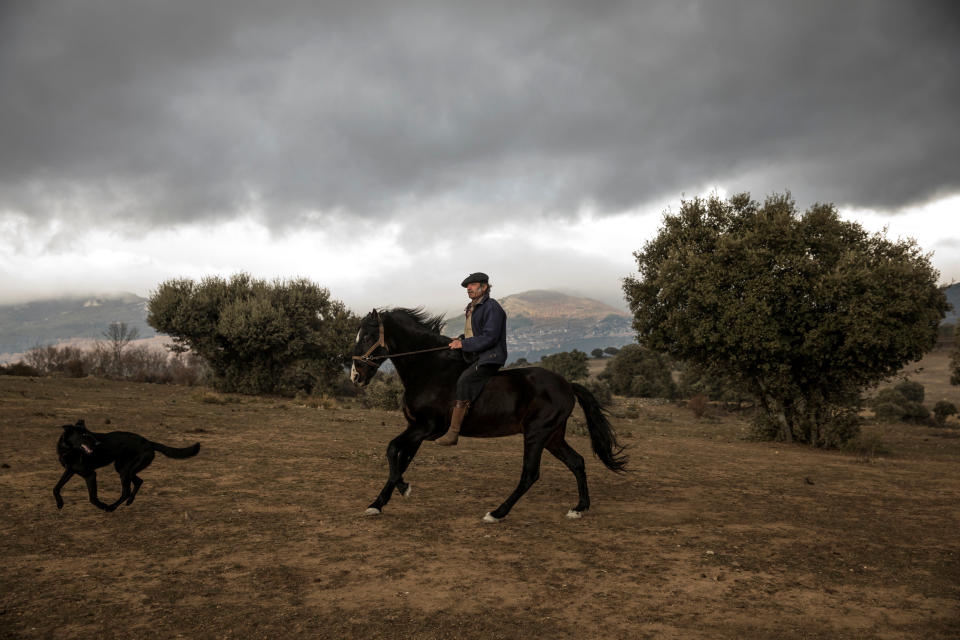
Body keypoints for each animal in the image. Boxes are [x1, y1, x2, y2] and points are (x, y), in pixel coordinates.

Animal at [54, 420, 201, 510]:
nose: (98, 443)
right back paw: (129, 501)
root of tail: (149, 442)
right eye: (84, 434)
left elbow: (92, 498)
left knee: (126, 490)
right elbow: (56, 488)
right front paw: (60, 503)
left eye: (90, 433)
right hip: (124, 468)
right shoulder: (70, 471)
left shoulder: (90, 474)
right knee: (139, 481)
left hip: (125, 470)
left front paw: (103, 506)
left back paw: (112, 507)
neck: (69, 450)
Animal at [348, 308, 628, 524]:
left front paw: (402, 489)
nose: (355, 376)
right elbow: (400, 459)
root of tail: (567, 384)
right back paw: (579, 508)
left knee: (530, 474)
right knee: (577, 462)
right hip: (553, 436)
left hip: (537, 434)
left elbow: (391, 449)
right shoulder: (417, 429)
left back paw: (497, 513)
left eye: (368, 336)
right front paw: (379, 503)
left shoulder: (426, 428)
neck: (430, 369)